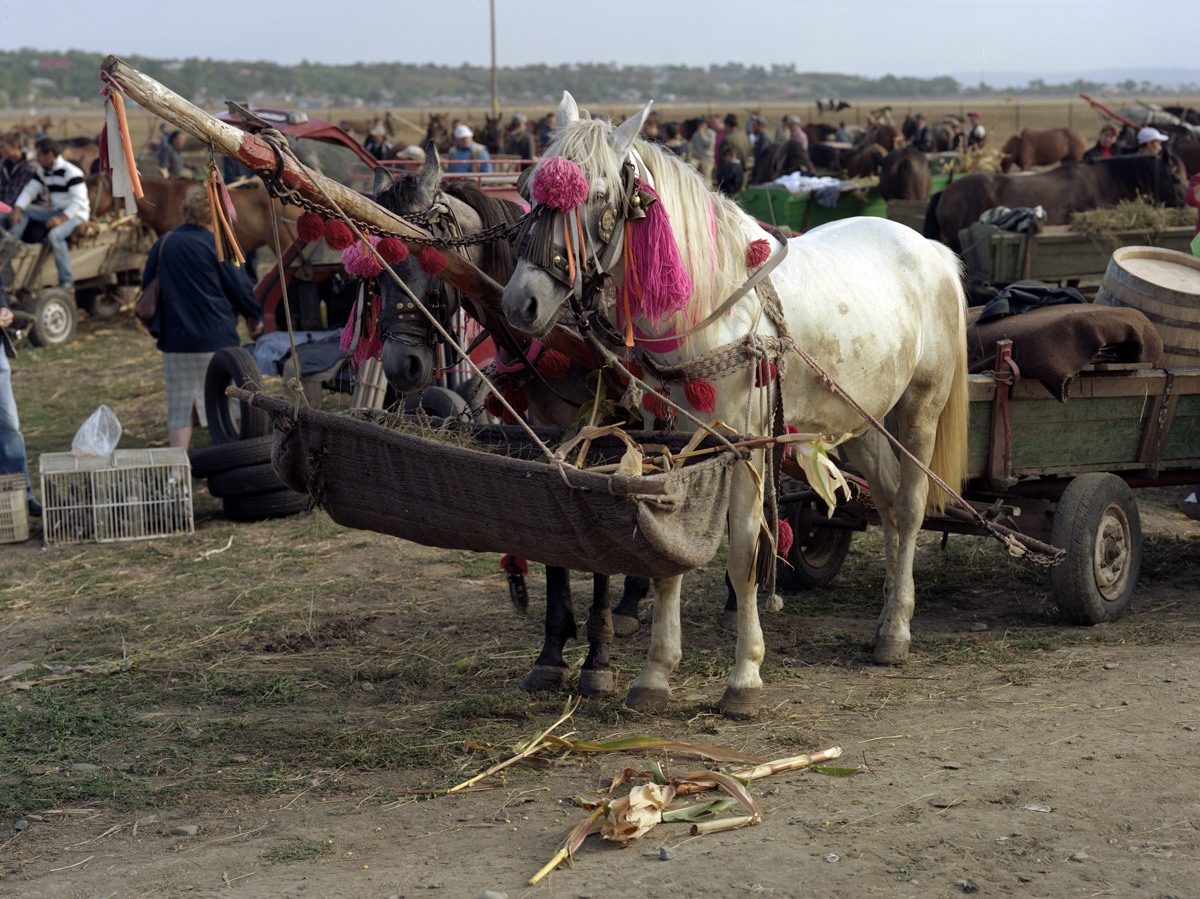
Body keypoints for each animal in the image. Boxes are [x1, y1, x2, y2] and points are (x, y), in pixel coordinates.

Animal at [501, 94, 969, 720]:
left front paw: (744, 675)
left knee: (913, 509)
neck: (712, 303)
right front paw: (656, 675)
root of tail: (930, 247)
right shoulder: (675, 441)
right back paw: (887, 620)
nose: (521, 303)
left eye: (597, 195)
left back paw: (896, 630)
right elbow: (668, 558)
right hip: (863, 419)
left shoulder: (745, 444)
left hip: (919, 409)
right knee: (891, 507)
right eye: (530, 191)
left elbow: (745, 556)